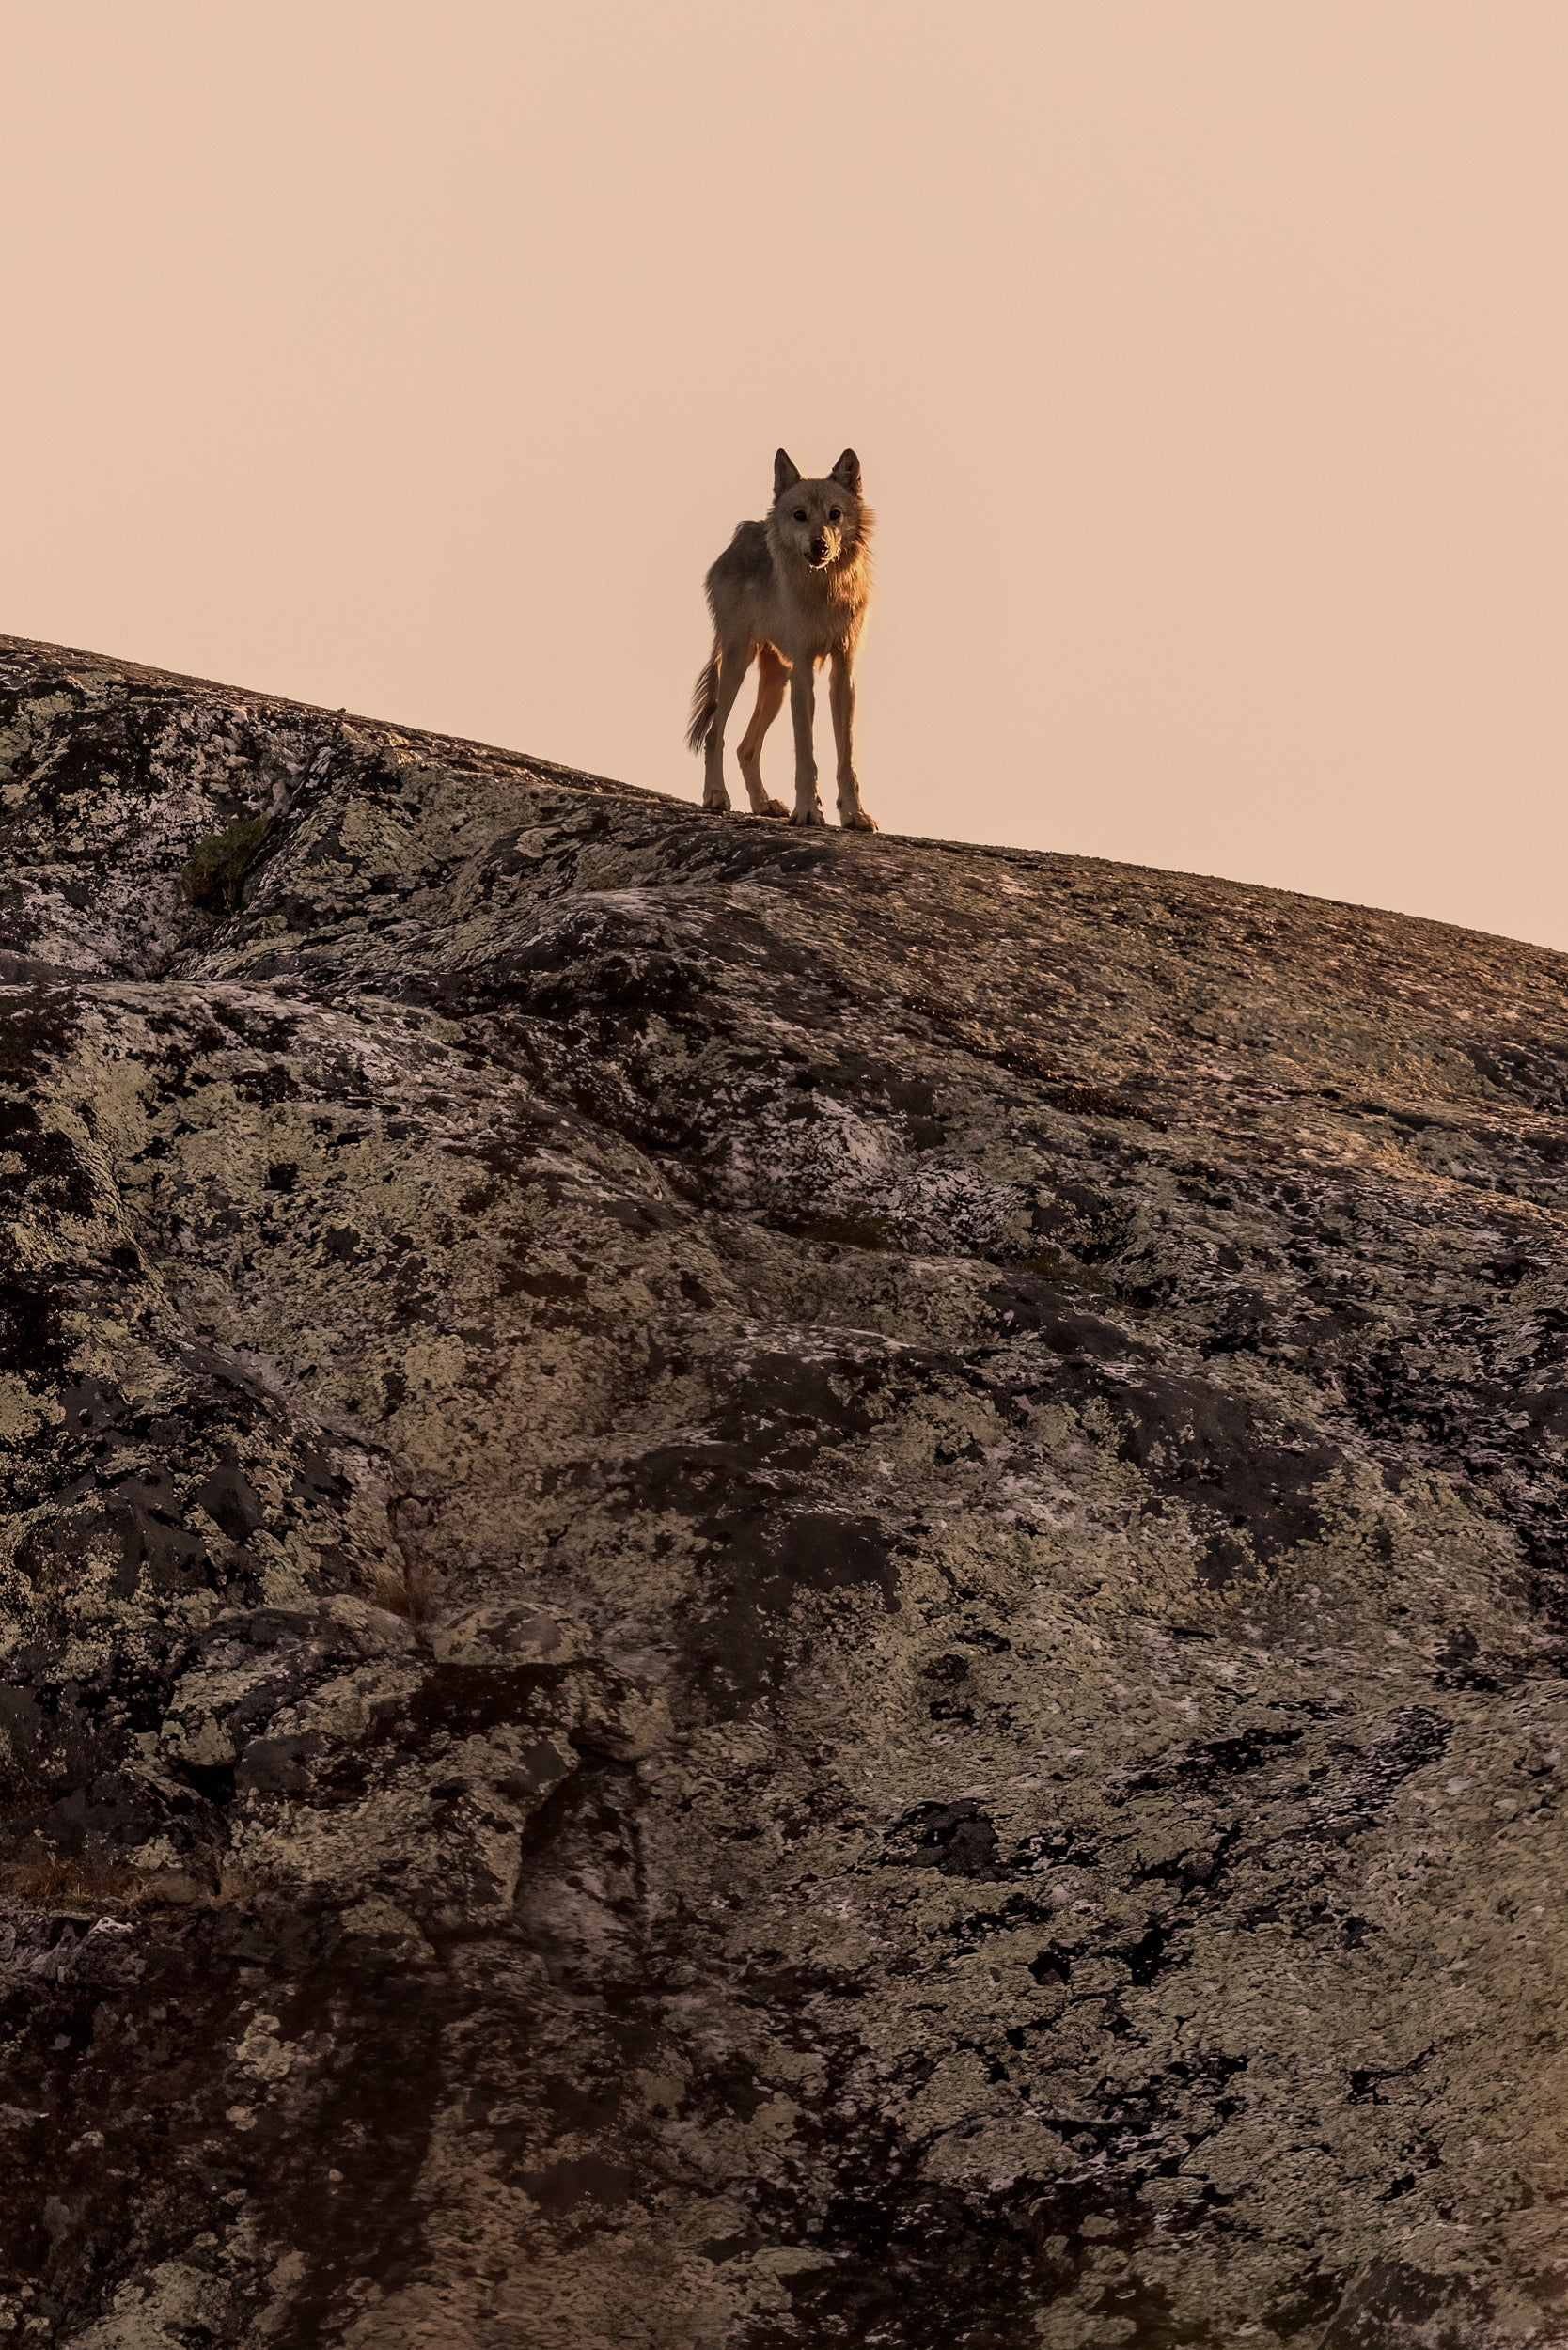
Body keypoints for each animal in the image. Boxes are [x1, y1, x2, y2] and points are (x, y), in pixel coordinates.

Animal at [687, 448, 877, 830]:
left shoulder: (842, 673)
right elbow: (806, 754)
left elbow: (845, 758)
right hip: (738, 662)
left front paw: (855, 815)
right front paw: (807, 812)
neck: (824, 593)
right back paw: (716, 796)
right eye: (799, 515)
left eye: (835, 514)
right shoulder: (804, 671)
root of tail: (741, 537)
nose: (820, 546)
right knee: (716, 734)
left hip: (776, 682)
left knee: (746, 747)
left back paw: (763, 804)